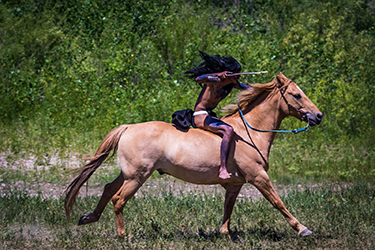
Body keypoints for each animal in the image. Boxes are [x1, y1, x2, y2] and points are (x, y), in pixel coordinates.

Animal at [64, 72, 324, 238]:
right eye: (297, 95)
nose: (319, 116)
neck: (249, 131)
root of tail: (128, 127)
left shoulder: (235, 184)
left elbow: (228, 209)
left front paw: (226, 235)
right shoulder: (258, 176)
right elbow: (278, 202)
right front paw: (302, 229)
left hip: (128, 174)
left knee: (108, 189)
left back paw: (89, 218)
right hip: (137, 176)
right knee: (118, 199)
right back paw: (122, 235)